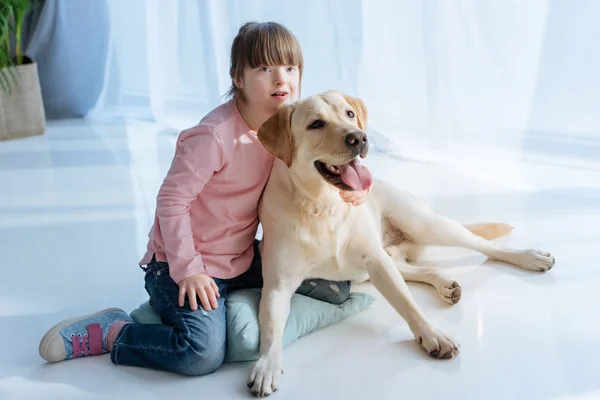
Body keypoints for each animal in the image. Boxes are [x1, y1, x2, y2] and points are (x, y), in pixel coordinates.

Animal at [246, 89, 556, 396]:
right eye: (316, 124)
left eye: (349, 114)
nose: (359, 137)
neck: (323, 207)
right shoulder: (277, 285)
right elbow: (271, 328)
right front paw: (266, 365)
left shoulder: (376, 262)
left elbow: (407, 303)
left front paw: (432, 335)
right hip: (383, 262)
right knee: (424, 269)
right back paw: (446, 284)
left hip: (424, 226)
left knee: (484, 245)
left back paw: (529, 257)